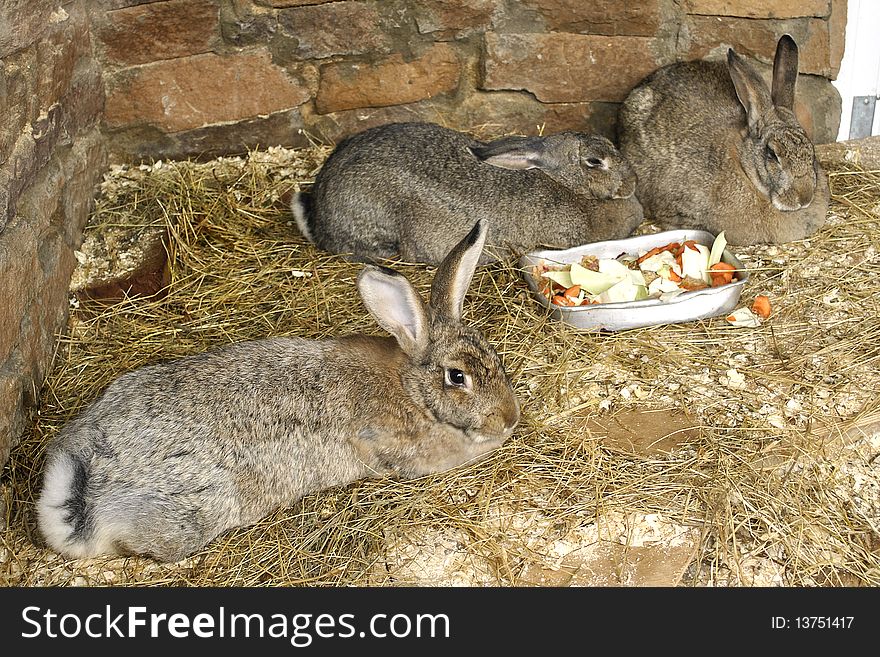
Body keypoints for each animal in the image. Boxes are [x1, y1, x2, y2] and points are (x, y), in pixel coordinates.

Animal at [39, 219, 524, 560]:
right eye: (457, 377)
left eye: (495, 358)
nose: (509, 418)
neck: (413, 391)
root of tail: (83, 487)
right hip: (194, 509)